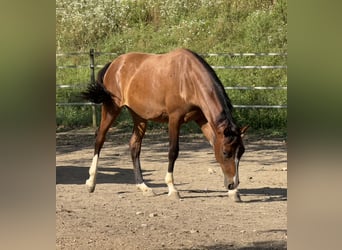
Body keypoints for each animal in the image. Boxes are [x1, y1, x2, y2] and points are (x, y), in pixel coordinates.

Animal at [83, 48, 248, 201]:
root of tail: (114, 64)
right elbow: (173, 151)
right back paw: (91, 182)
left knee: (134, 146)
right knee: (100, 138)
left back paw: (144, 187)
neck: (188, 79)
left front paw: (233, 193)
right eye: (226, 152)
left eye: (241, 152)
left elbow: (213, 143)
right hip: (111, 108)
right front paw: (172, 188)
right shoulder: (174, 118)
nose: (233, 183)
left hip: (139, 116)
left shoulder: (202, 119)